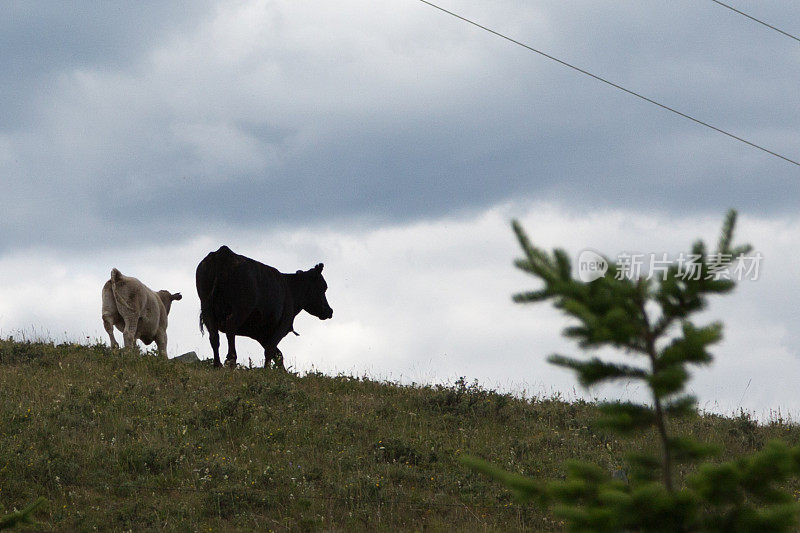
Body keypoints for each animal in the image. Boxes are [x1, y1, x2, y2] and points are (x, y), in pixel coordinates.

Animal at [198, 244, 334, 366]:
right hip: (241, 308)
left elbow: (278, 355)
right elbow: (271, 351)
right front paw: (267, 370)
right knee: (230, 328)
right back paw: (231, 360)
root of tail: (224, 252)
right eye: (324, 287)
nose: (330, 311)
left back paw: (217, 365)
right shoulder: (282, 326)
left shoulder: (261, 334)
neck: (291, 290)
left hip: (206, 307)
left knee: (214, 336)